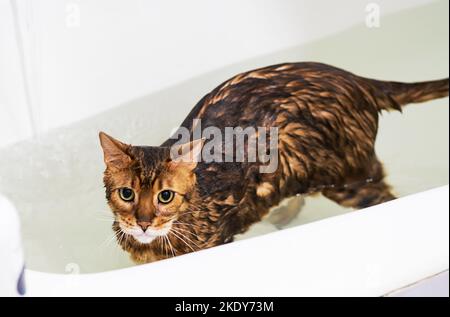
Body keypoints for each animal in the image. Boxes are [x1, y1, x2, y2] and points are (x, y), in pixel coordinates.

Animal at [99, 61, 450, 262]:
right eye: (126, 194)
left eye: (165, 196)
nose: (143, 223)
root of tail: (359, 81)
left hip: (344, 174)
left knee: (381, 192)